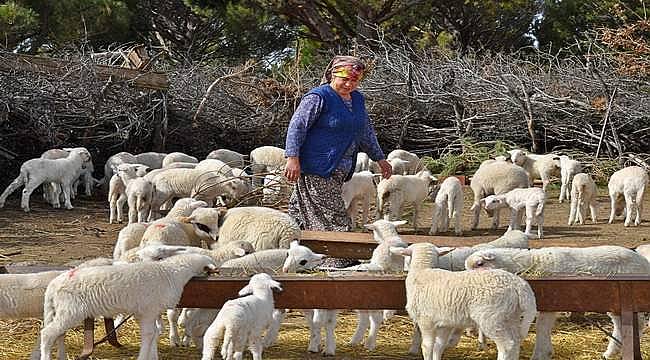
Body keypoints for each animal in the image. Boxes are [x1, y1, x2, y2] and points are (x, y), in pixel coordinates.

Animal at [39, 253, 216, 360]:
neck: (171, 273)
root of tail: (54, 285)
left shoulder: (145, 312)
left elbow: (154, 334)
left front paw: (152, 356)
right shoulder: (148, 310)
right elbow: (149, 334)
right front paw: (143, 357)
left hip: (61, 311)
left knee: (58, 334)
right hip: (71, 311)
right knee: (47, 334)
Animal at [466, 246, 650, 358]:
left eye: (480, 264)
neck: (532, 262)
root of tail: (643, 261)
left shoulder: (550, 304)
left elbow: (541, 328)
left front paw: (539, 355)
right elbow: (543, 328)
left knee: (637, 324)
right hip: (614, 302)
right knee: (620, 326)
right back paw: (610, 353)